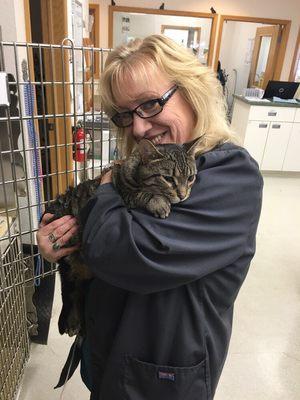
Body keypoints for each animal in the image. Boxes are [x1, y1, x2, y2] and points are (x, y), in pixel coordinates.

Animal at [45, 137, 199, 338]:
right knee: (69, 292)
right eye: (168, 179)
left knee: (79, 293)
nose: (182, 195)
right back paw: (71, 322)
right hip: (67, 261)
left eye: (190, 178)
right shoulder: (123, 191)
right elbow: (140, 193)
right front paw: (158, 201)